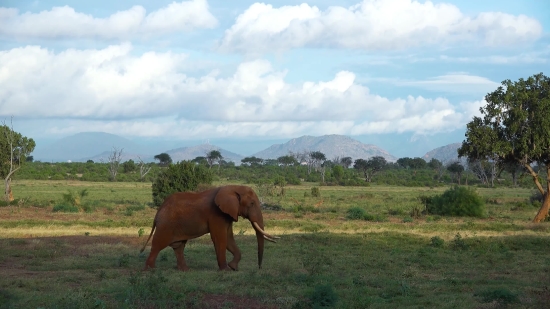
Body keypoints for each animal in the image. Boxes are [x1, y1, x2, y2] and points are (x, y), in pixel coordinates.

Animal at [140, 185, 278, 270]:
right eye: (252, 203)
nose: (259, 268)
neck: (233, 187)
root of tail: (158, 211)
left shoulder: (226, 214)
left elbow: (228, 238)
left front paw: (233, 267)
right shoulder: (216, 214)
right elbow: (220, 238)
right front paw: (226, 270)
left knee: (179, 247)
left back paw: (186, 270)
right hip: (166, 225)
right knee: (158, 245)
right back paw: (150, 270)